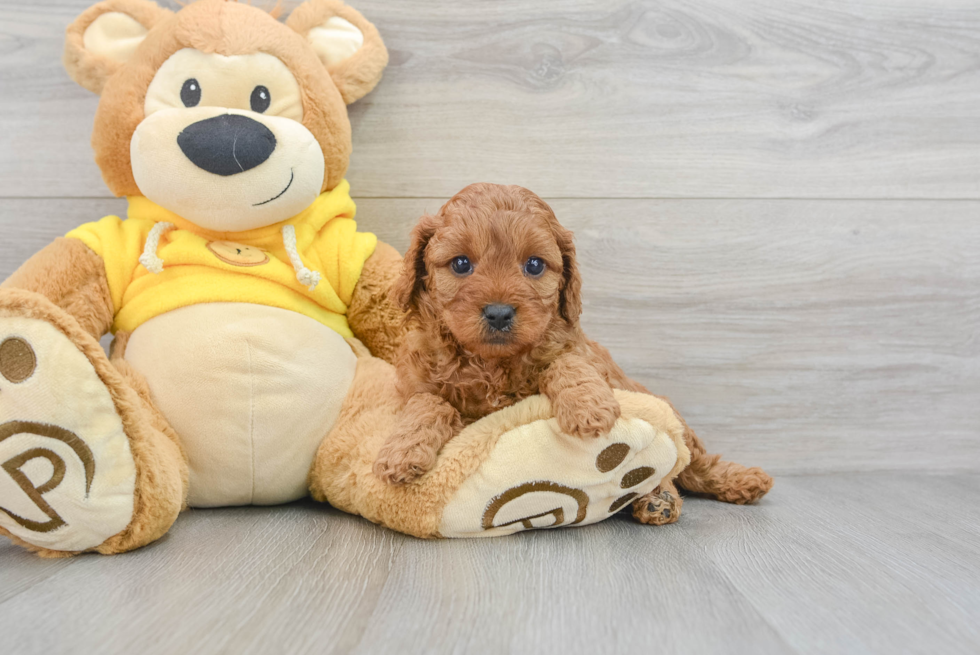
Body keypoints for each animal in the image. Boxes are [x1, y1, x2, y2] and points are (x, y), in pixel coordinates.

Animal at [376, 182, 772, 524]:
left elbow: (566, 363)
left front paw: (587, 409)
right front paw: (402, 451)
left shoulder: (580, 352)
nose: (500, 313)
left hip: (671, 418)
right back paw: (658, 500)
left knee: (692, 464)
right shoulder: (419, 384)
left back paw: (731, 483)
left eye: (534, 265)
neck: (492, 363)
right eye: (461, 264)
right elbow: (429, 403)